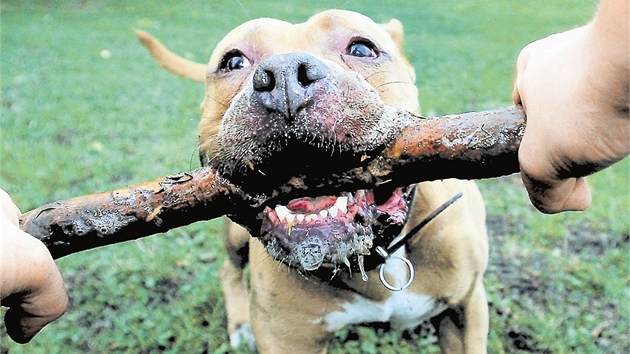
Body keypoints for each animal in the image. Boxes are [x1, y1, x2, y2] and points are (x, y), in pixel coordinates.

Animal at [138, 9, 492, 354]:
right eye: (234, 61)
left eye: (362, 49)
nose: (283, 75)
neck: (375, 260)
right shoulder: (286, 338)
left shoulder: (467, 308)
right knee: (229, 270)